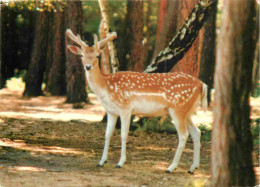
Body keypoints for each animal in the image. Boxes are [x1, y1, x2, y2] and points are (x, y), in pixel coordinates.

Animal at [66, 28, 207, 174]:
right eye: (82, 55)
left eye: (97, 56)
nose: (88, 66)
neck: (106, 88)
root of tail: (202, 85)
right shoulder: (111, 112)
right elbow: (107, 134)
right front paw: (101, 161)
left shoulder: (125, 108)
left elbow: (123, 134)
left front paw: (120, 162)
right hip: (188, 111)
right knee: (197, 132)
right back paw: (193, 167)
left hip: (178, 109)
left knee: (184, 135)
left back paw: (171, 167)